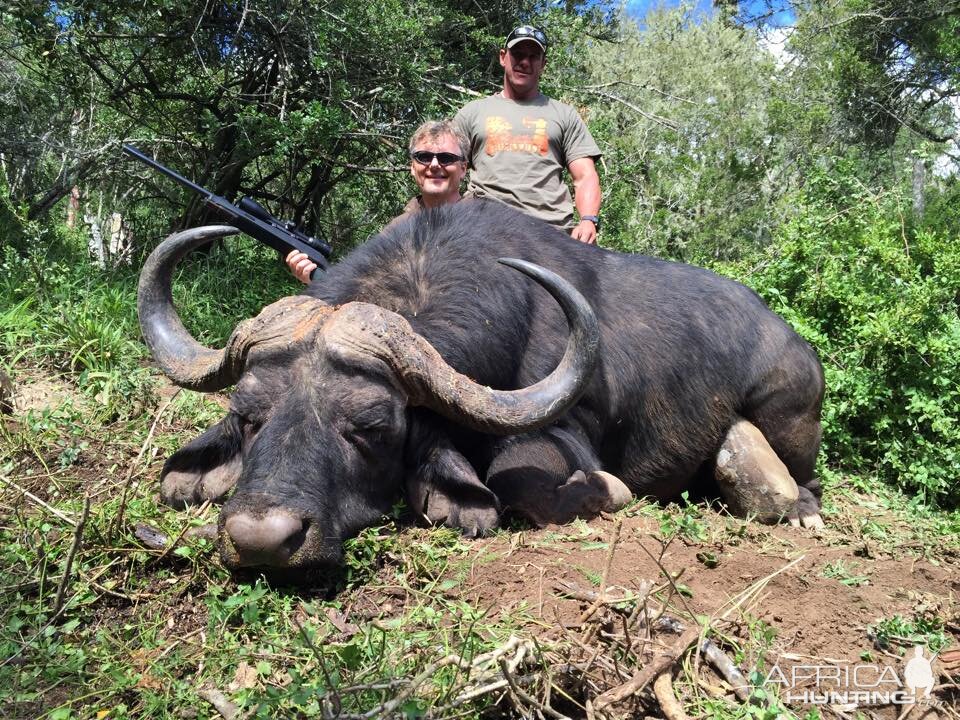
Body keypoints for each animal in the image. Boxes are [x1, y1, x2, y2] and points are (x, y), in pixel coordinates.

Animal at [137, 200, 824, 572]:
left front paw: (611, 492)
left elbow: (517, 483)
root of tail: (795, 342)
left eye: (371, 428)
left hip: (790, 417)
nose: (261, 539)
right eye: (249, 414)